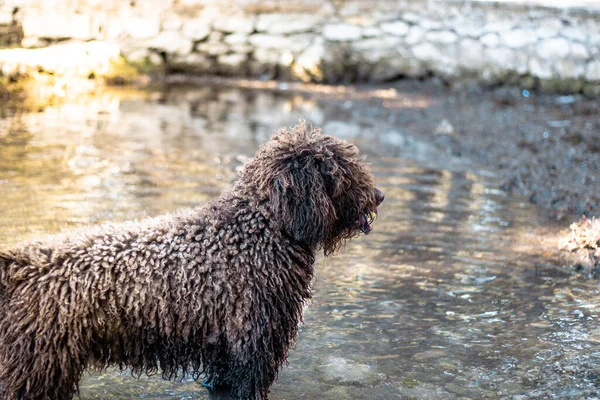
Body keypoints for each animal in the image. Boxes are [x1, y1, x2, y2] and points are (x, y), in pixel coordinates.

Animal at [0, 122, 384, 400]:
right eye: (342, 171)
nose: (379, 196)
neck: (258, 229)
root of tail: (16, 263)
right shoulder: (253, 345)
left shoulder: (226, 356)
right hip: (35, 367)